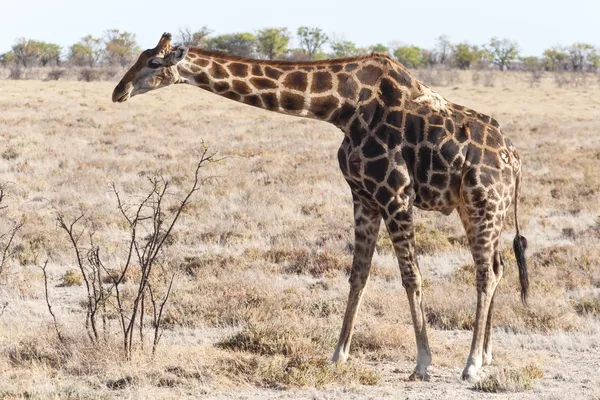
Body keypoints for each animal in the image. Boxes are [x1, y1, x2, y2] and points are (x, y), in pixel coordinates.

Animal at [113, 32, 528, 382]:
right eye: (140, 57)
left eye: (153, 63)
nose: (119, 91)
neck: (342, 108)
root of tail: (515, 158)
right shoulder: (363, 196)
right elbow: (358, 275)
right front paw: (338, 355)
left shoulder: (395, 192)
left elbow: (411, 277)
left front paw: (423, 363)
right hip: (476, 208)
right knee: (498, 266)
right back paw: (486, 356)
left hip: (484, 202)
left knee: (486, 273)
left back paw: (471, 365)